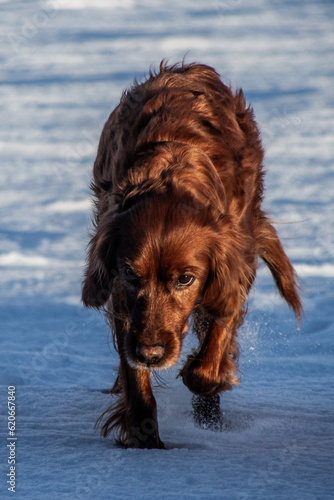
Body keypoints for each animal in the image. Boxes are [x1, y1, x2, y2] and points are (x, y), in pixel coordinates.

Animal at [82, 61, 302, 450]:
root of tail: (188, 68)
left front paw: (211, 379)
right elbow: (135, 377)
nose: (151, 354)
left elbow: (214, 345)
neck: (169, 179)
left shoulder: (233, 263)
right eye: (131, 274)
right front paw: (145, 440)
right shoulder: (122, 298)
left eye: (185, 279)